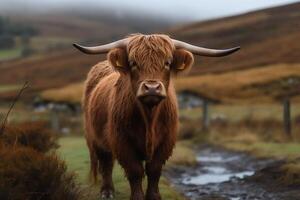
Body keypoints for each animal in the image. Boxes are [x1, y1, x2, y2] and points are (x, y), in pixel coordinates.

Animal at [73, 33, 239, 199]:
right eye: (133, 63)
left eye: (167, 63)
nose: (152, 88)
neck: (149, 117)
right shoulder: (122, 141)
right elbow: (135, 171)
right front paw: (137, 197)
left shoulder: (166, 142)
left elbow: (154, 170)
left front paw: (153, 196)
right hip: (95, 138)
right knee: (105, 163)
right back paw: (107, 191)